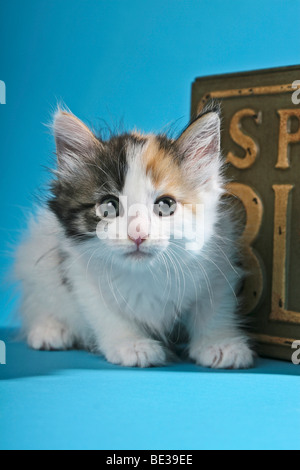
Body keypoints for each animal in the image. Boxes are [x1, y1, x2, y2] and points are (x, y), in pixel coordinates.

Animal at [13, 104, 253, 370]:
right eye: (108, 207)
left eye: (166, 205)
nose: (138, 234)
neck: (146, 272)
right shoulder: (77, 270)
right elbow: (104, 312)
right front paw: (131, 344)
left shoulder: (218, 261)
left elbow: (215, 307)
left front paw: (219, 343)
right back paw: (50, 329)